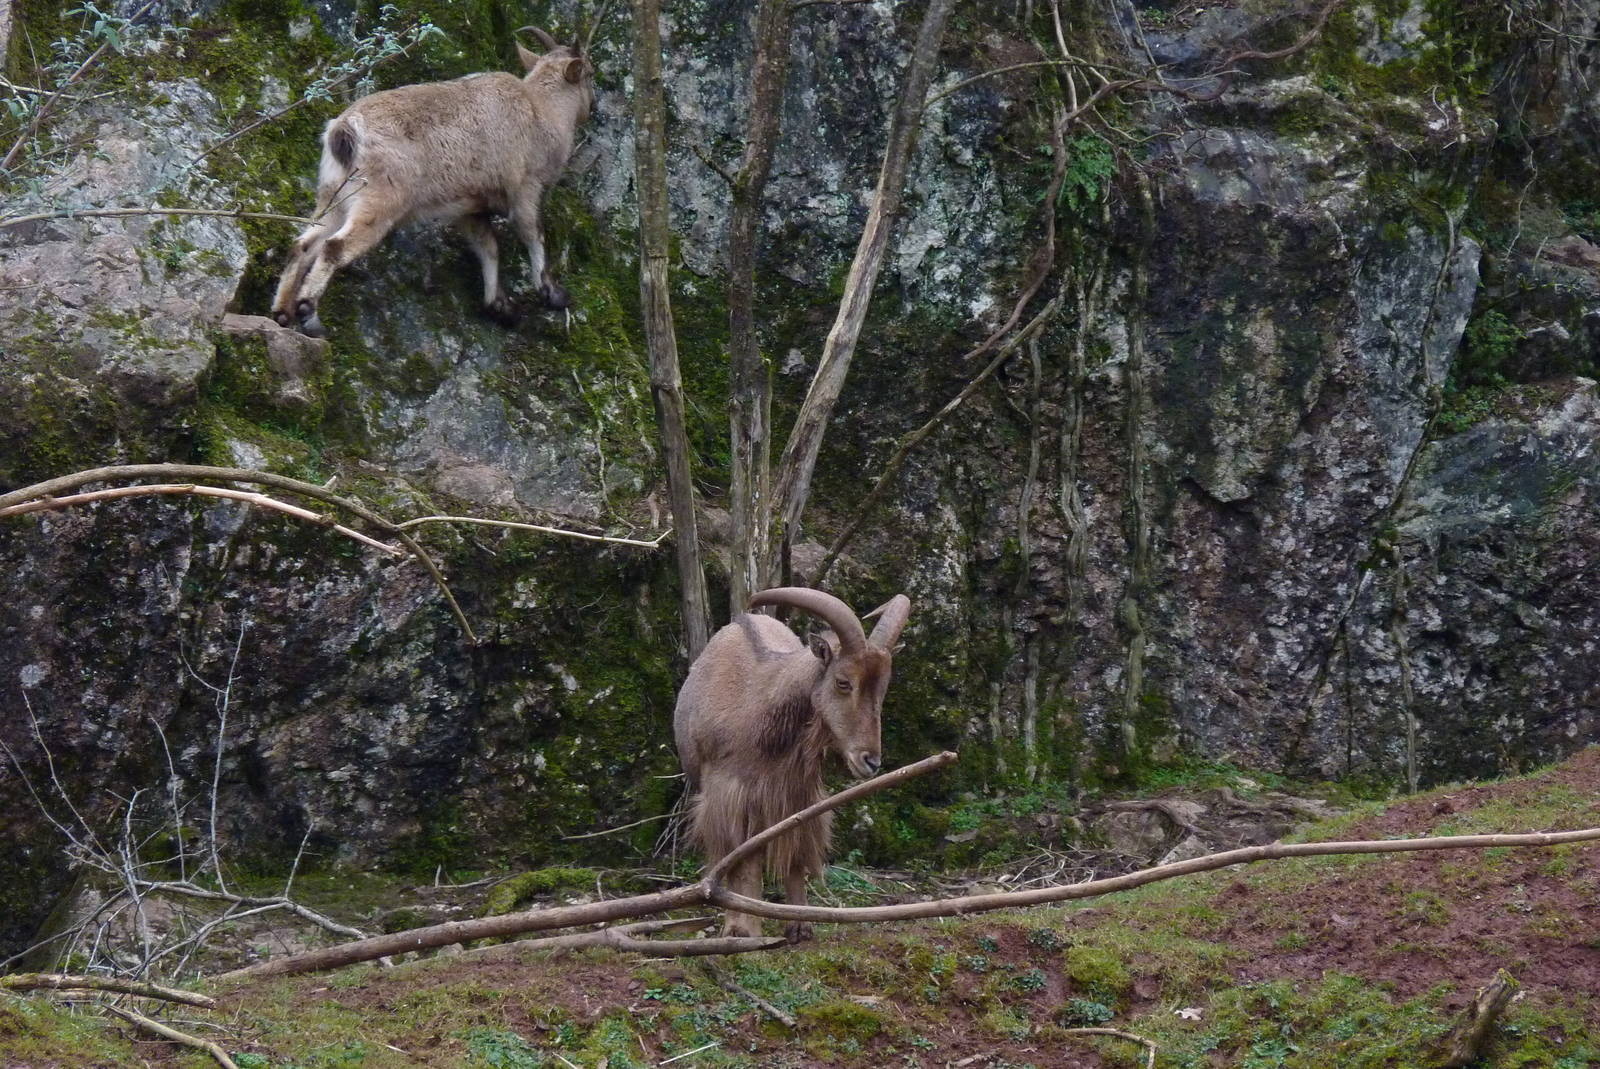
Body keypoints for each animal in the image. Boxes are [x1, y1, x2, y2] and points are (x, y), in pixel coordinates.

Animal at [270, 27, 595, 338]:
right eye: (590, 73)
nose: (591, 107)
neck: (541, 109)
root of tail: (344, 130)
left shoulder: (471, 206)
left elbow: (488, 246)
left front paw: (500, 306)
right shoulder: (525, 187)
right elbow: (532, 233)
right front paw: (552, 293)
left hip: (332, 196)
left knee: (303, 245)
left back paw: (283, 313)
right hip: (378, 199)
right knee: (334, 247)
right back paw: (310, 317)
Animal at [674, 586, 912, 942]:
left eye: (883, 687)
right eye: (843, 682)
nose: (869, 760)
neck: (760, 709)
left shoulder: (797, 794)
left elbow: (795, 850)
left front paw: (800, 924)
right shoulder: (731, 793)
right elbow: (742, 859)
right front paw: (742, 928)